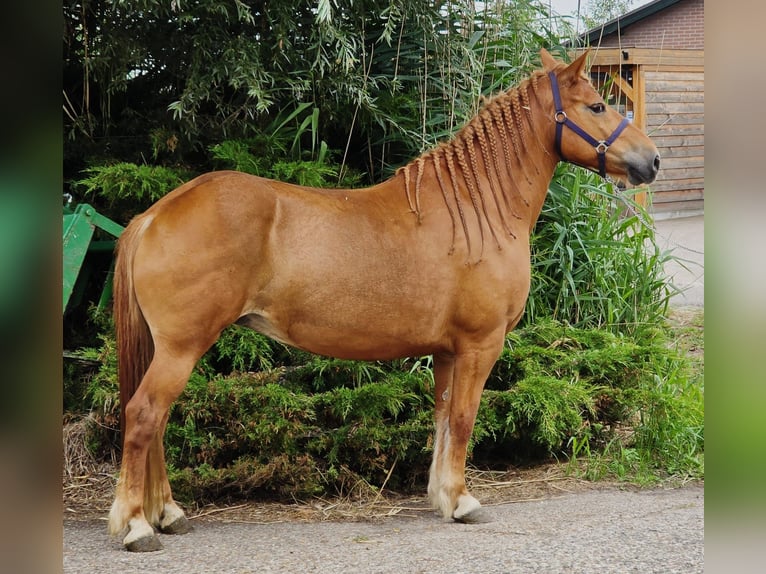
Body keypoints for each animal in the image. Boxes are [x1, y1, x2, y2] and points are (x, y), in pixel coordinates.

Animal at [108, 48, 659, 551]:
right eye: (596, 106)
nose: (651, 160)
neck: (476, 209)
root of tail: (155, 215)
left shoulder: (447, 351)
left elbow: (443, 419)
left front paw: (443, 496)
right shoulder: (480, 345)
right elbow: (464, 419)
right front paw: (464, 501)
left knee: (156, 424)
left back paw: (168, 514)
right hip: (181, 348)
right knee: (144, 417)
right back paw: (138, 527)